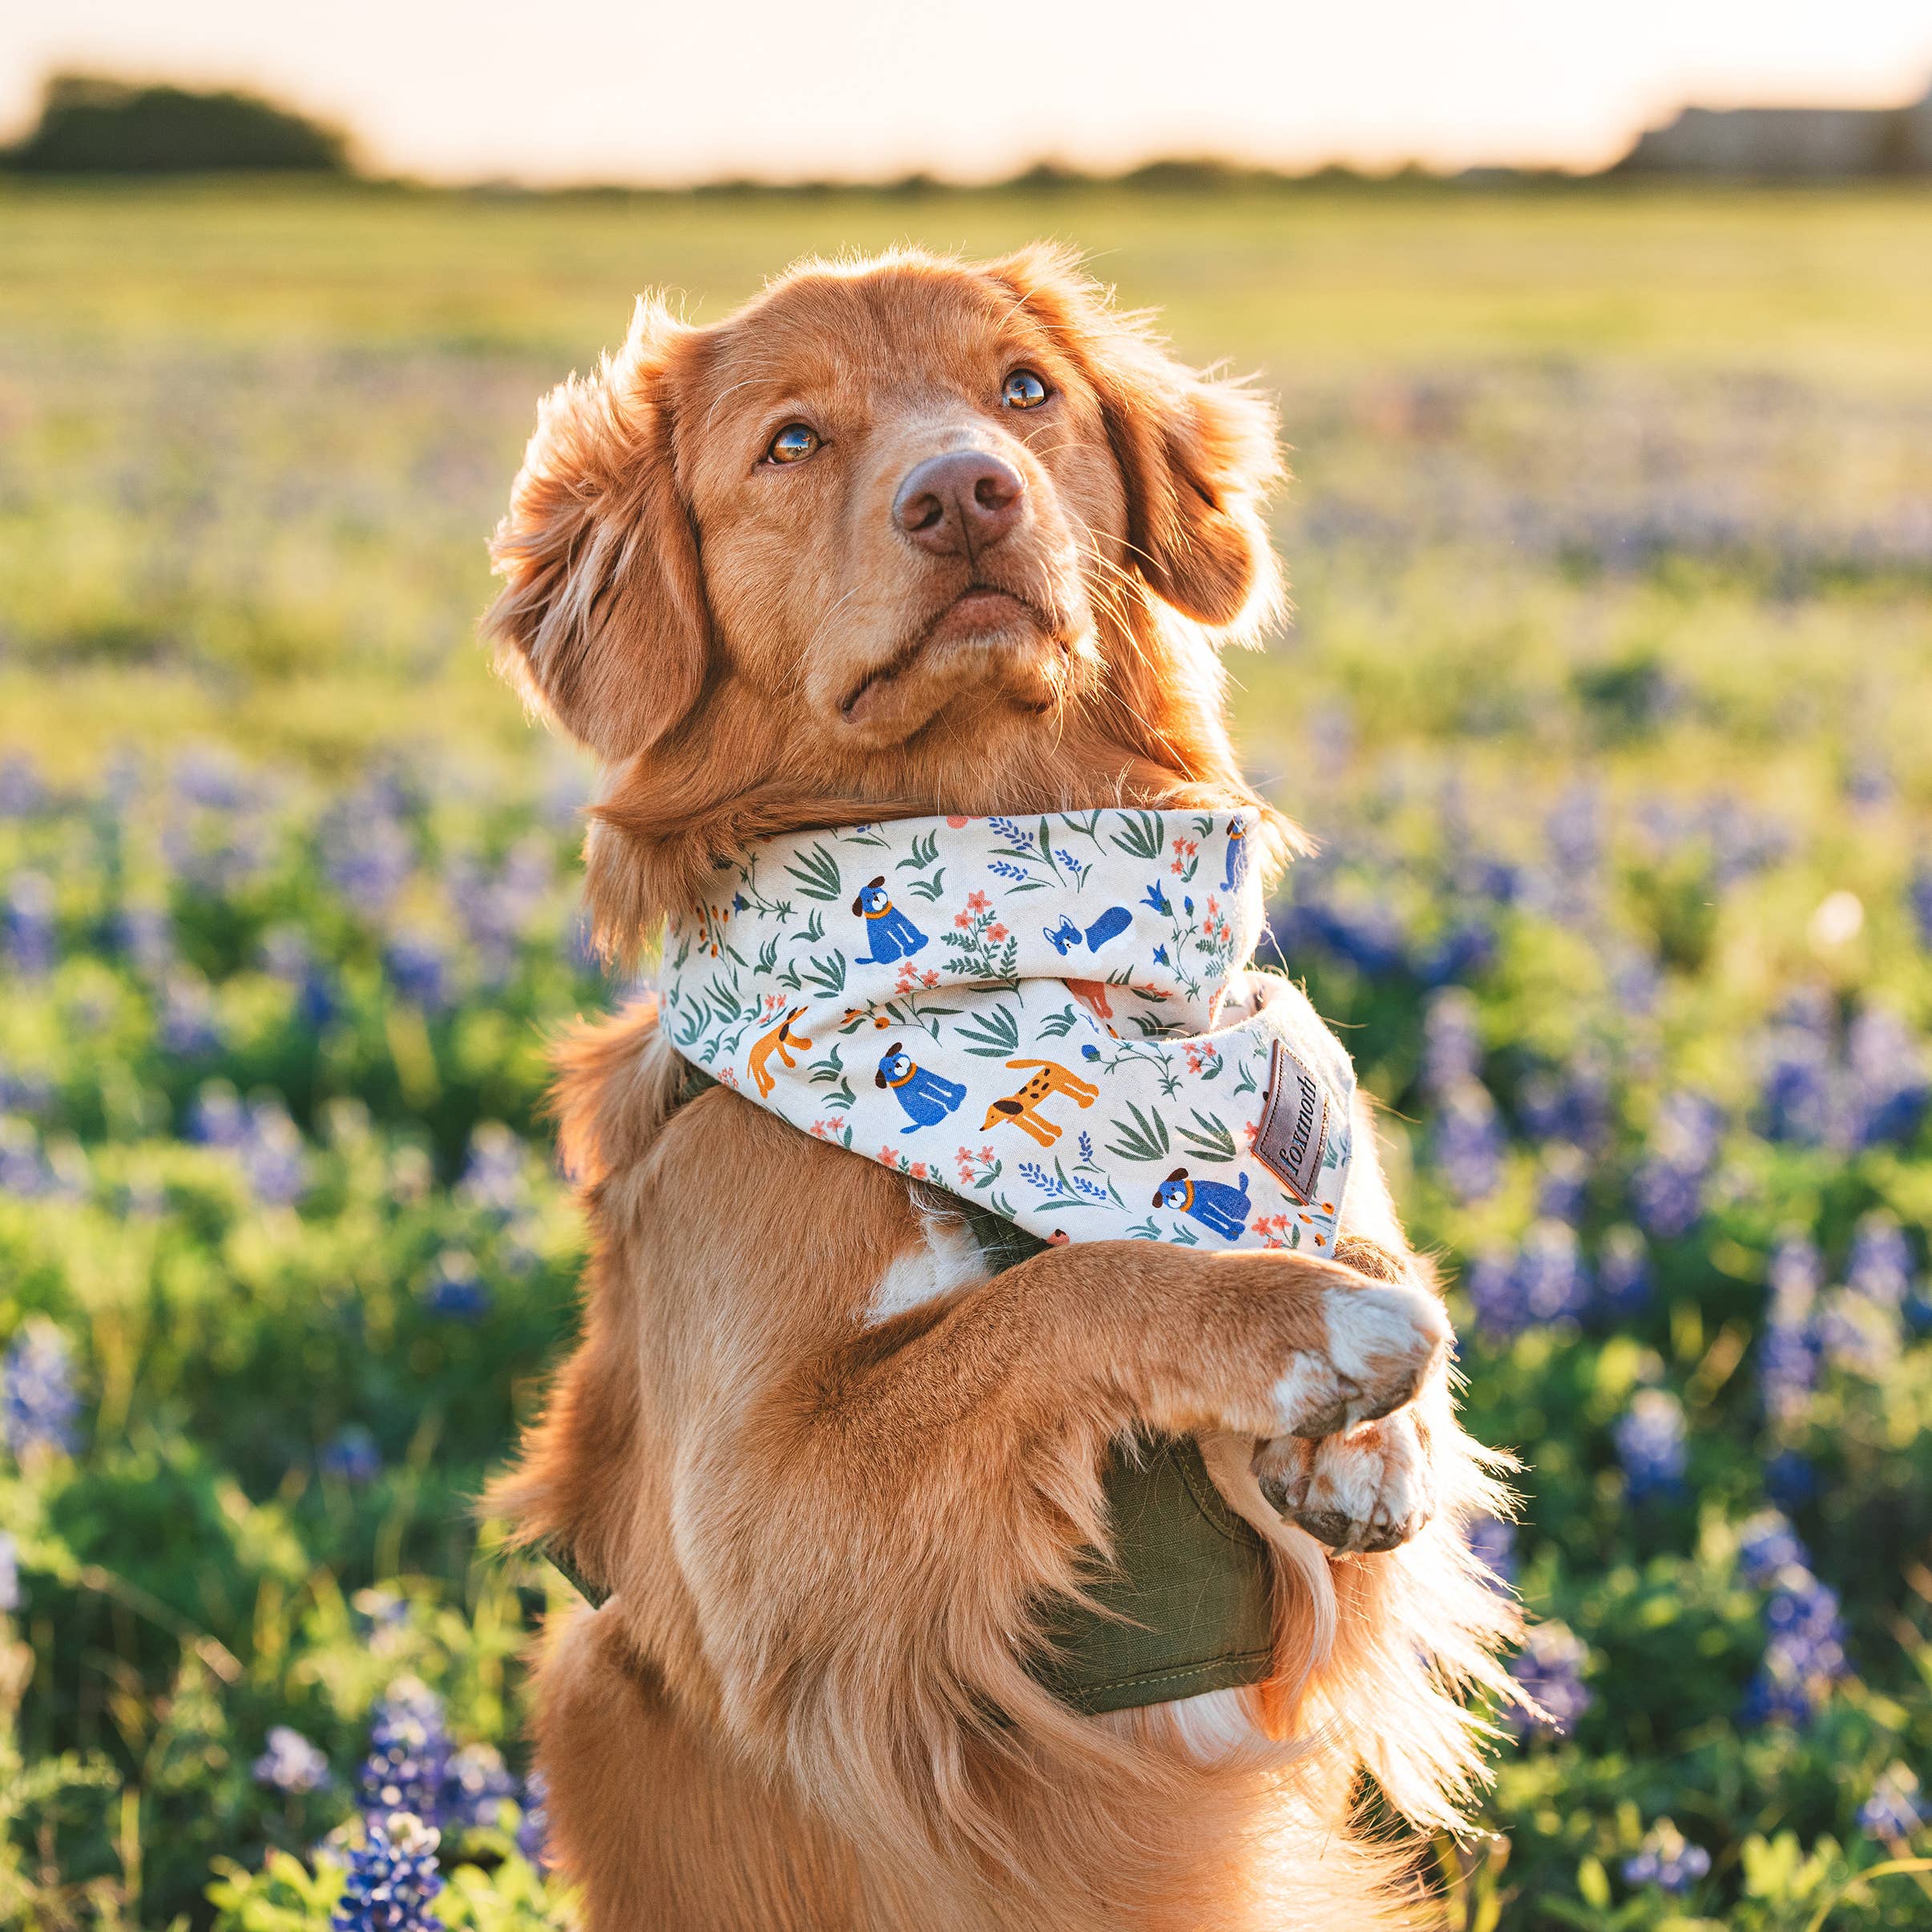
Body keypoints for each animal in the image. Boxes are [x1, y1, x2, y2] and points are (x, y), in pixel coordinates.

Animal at [989, 1066, 1097, 1135]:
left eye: (992, 1117)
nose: (984, 1128)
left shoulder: (1025, 1112)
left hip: (1062, 1079)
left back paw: (1090, 1094)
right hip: (1059, 1085)